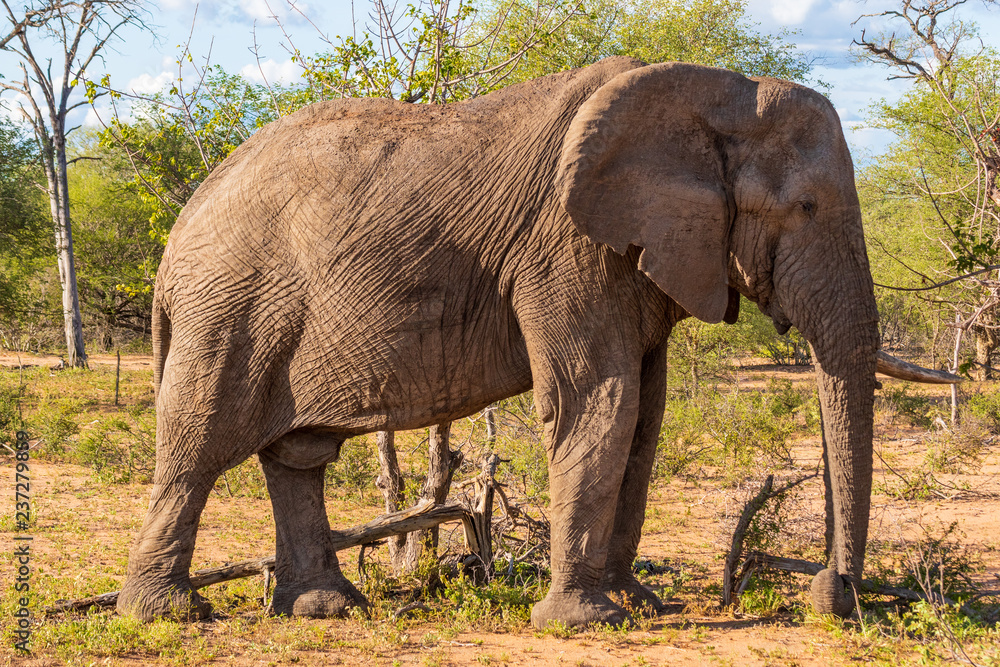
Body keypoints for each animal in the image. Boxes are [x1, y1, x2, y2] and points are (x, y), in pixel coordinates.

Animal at [116, 56, 948, 627]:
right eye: (804, 207)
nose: (834, 596)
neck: (717, 93)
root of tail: (178, 228)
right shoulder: (566, 248)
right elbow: (599, 401)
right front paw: (587, 619)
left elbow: (645, 417)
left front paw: (637, 602)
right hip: (230, 306)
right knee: (198, 442)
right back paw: (170, 614)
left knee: (297, 456)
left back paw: (327, 607)